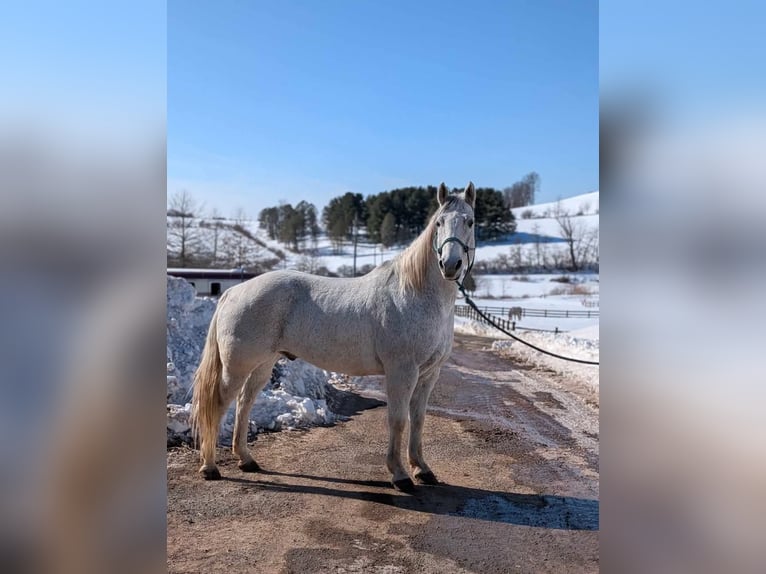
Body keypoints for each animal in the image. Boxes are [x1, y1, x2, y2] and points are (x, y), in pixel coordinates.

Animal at [191, 182, 476, 492]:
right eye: (438, 223)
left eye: (470, 222)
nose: (450, 264)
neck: (414, 292)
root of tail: (233, 291)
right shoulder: (402, 371)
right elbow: (399, 420)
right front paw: (400, 475)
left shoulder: (428, 374)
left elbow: (419, 420)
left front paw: (422, 469)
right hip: (237, 366)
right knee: (218, 405)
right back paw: (210, 467)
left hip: (263, 364)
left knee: (244, 403)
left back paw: (246, 460)